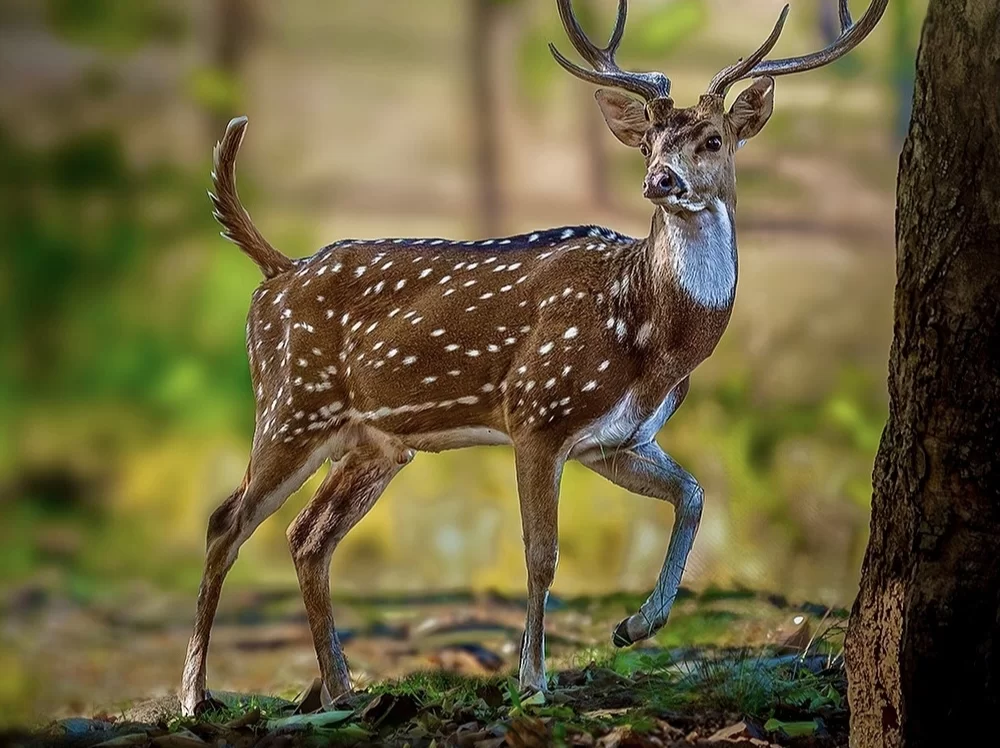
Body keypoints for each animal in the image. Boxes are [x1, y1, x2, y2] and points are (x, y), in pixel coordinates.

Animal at [180, 0, 889, 716]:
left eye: (712, 140)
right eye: (648, 141)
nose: (660, 180)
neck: (650, 336)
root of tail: (277, 270)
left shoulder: (617, 439)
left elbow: (693, 493)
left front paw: (635, 625)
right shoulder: (537, 411)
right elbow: (542, 553)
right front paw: (533, 681)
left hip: (375, 444)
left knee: (307, 536)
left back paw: (340, 690)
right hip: (291, 403)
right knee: (225, 521)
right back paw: (196, 695)